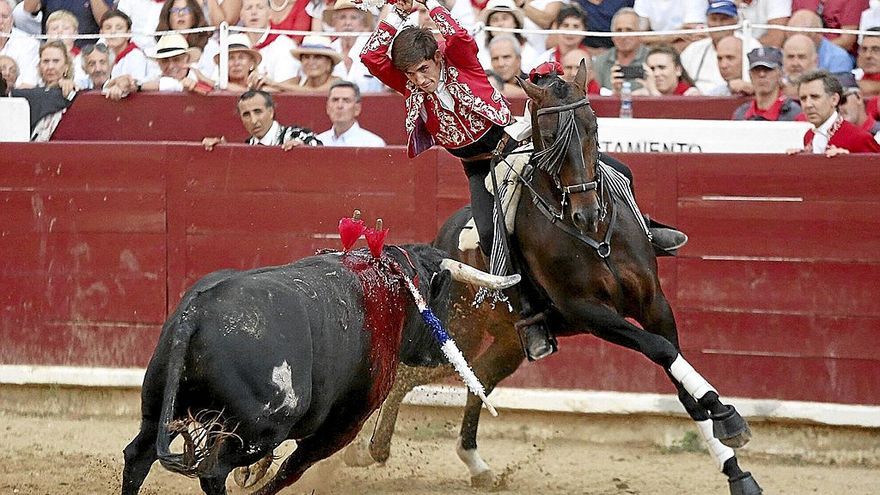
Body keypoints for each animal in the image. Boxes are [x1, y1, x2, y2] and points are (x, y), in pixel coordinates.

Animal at [119, 245, 492, 495]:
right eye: (440, 299)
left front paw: (251, 475)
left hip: (160, 410)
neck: (389, 285)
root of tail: (196, 315)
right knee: (212, 472)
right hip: (260, 430)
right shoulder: (345, 424)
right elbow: (293, 467)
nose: (441, 353)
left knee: (138, 456)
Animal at [348, 63, 760, 495]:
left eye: (593, 125)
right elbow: (661, 350)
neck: (594, 237)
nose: (586, 213)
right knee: (410, 373)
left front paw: (737, 468)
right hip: (456, 331)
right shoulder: (588, 312)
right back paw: (371, 448)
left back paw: (472, 462)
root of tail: (440, 242)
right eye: (548, 136)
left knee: (477, 377)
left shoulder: (654, 304)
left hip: (509, 342)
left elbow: (680, 380)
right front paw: (730, 419)